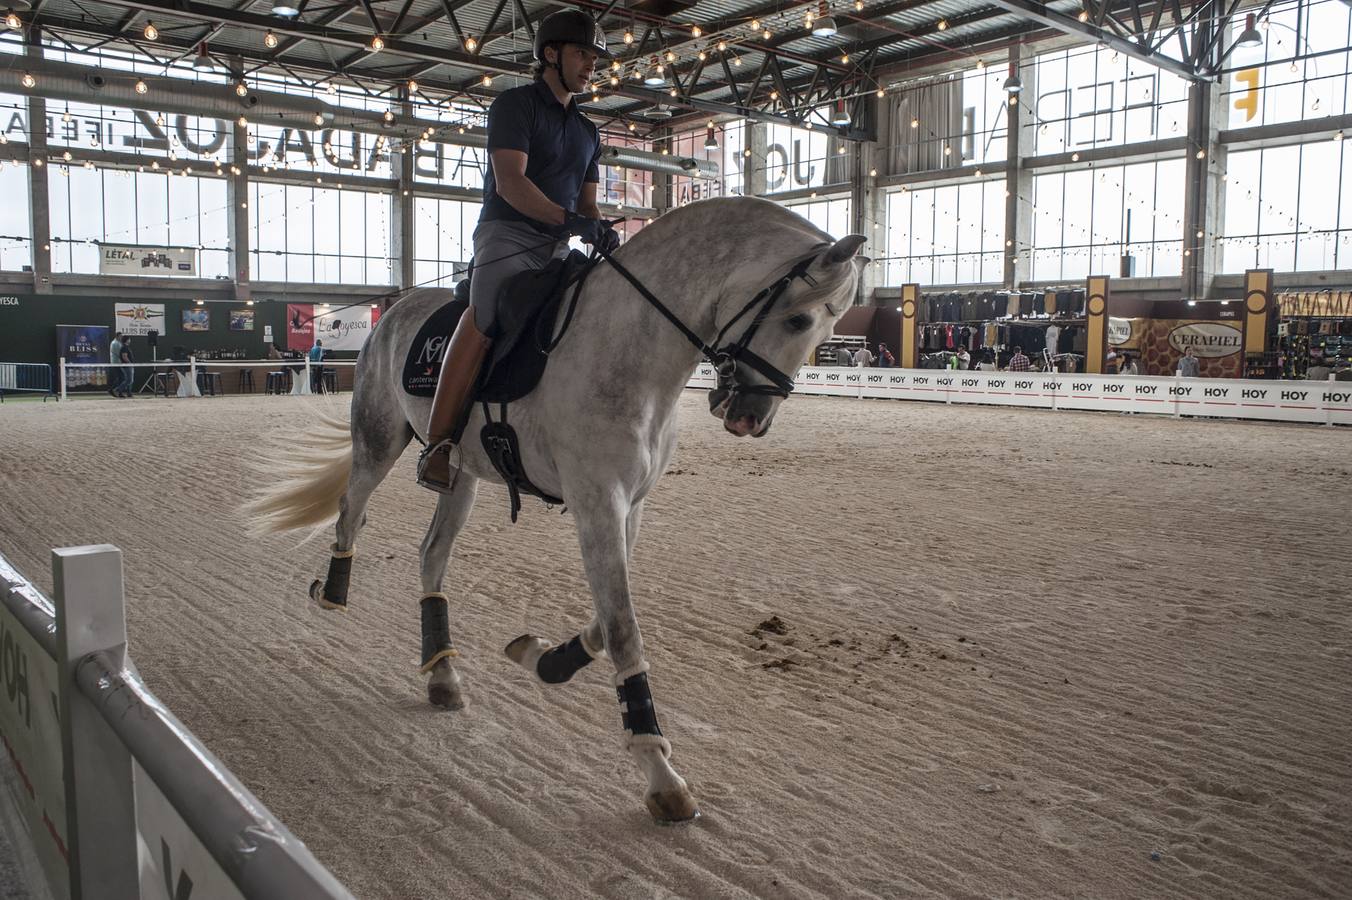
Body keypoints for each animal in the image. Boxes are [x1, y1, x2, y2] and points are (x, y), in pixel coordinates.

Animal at [248, 195, 865, 821]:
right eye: (798, 320)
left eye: (830, 327)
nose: (749, 418)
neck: (629, 344)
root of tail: (394, 312)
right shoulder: (597, 501)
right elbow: (623, 629)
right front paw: (660, 773)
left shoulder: (627, 507)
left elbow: (605, 620)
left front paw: (544, 659)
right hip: (378, 439)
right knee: (352, 508)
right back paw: (332, 591)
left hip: (461, 476)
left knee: (431, 555)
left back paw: (442, 674)